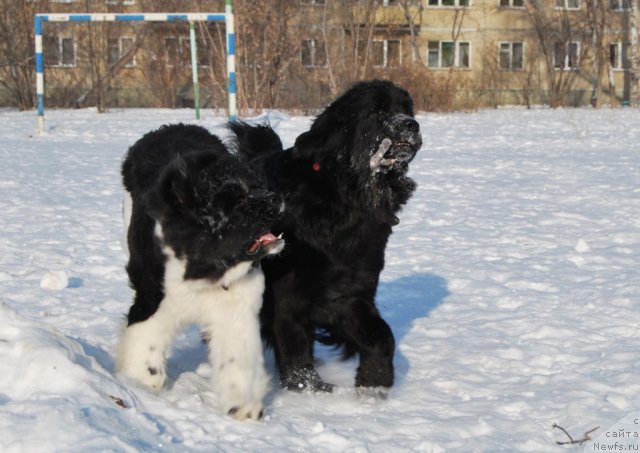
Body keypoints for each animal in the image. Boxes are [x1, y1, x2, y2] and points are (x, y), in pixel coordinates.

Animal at [115, 122, 284, 418]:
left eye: (256, 186)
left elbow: (237, 360)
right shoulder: (152, 302)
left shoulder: (236, 309)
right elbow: (145, 347)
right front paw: (140, 387)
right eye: (236, 201)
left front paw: (243, 407)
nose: (276, 198)